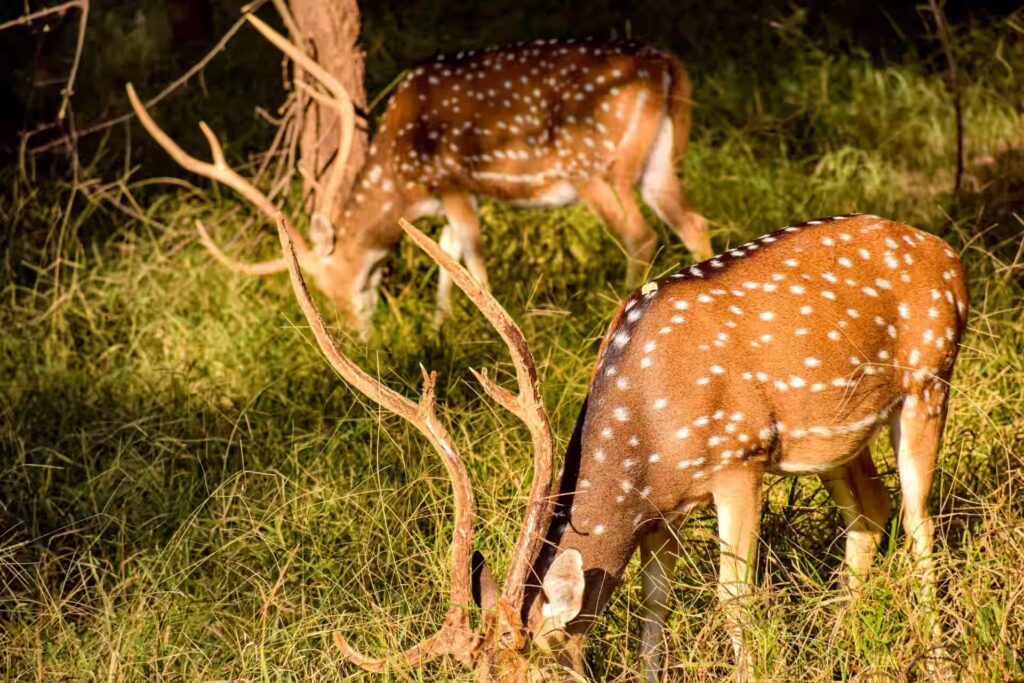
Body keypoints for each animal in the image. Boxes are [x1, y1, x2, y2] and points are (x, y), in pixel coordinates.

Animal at [127, 13, 712, 331]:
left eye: (333, 283)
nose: (351, 331)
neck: (400, 175)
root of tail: (667, 65)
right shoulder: (449, 196)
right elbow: (446, 251)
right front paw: (441, 323)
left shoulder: (453, 180)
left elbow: (469, 250)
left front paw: (483, 326)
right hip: (659, 161)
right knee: (693, 220)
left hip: (596, 166)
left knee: (639, 235)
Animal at [277, 210, 968, 681]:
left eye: (531, 679)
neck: (645, 437)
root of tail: (948, 252)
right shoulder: (663, 511)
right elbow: (652, 608)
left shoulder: (739, 460)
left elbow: (734, 596)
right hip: (838, 438)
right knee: (870, 512)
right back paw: (838, 646)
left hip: (929, 379)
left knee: (918, 521)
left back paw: (937, 660)